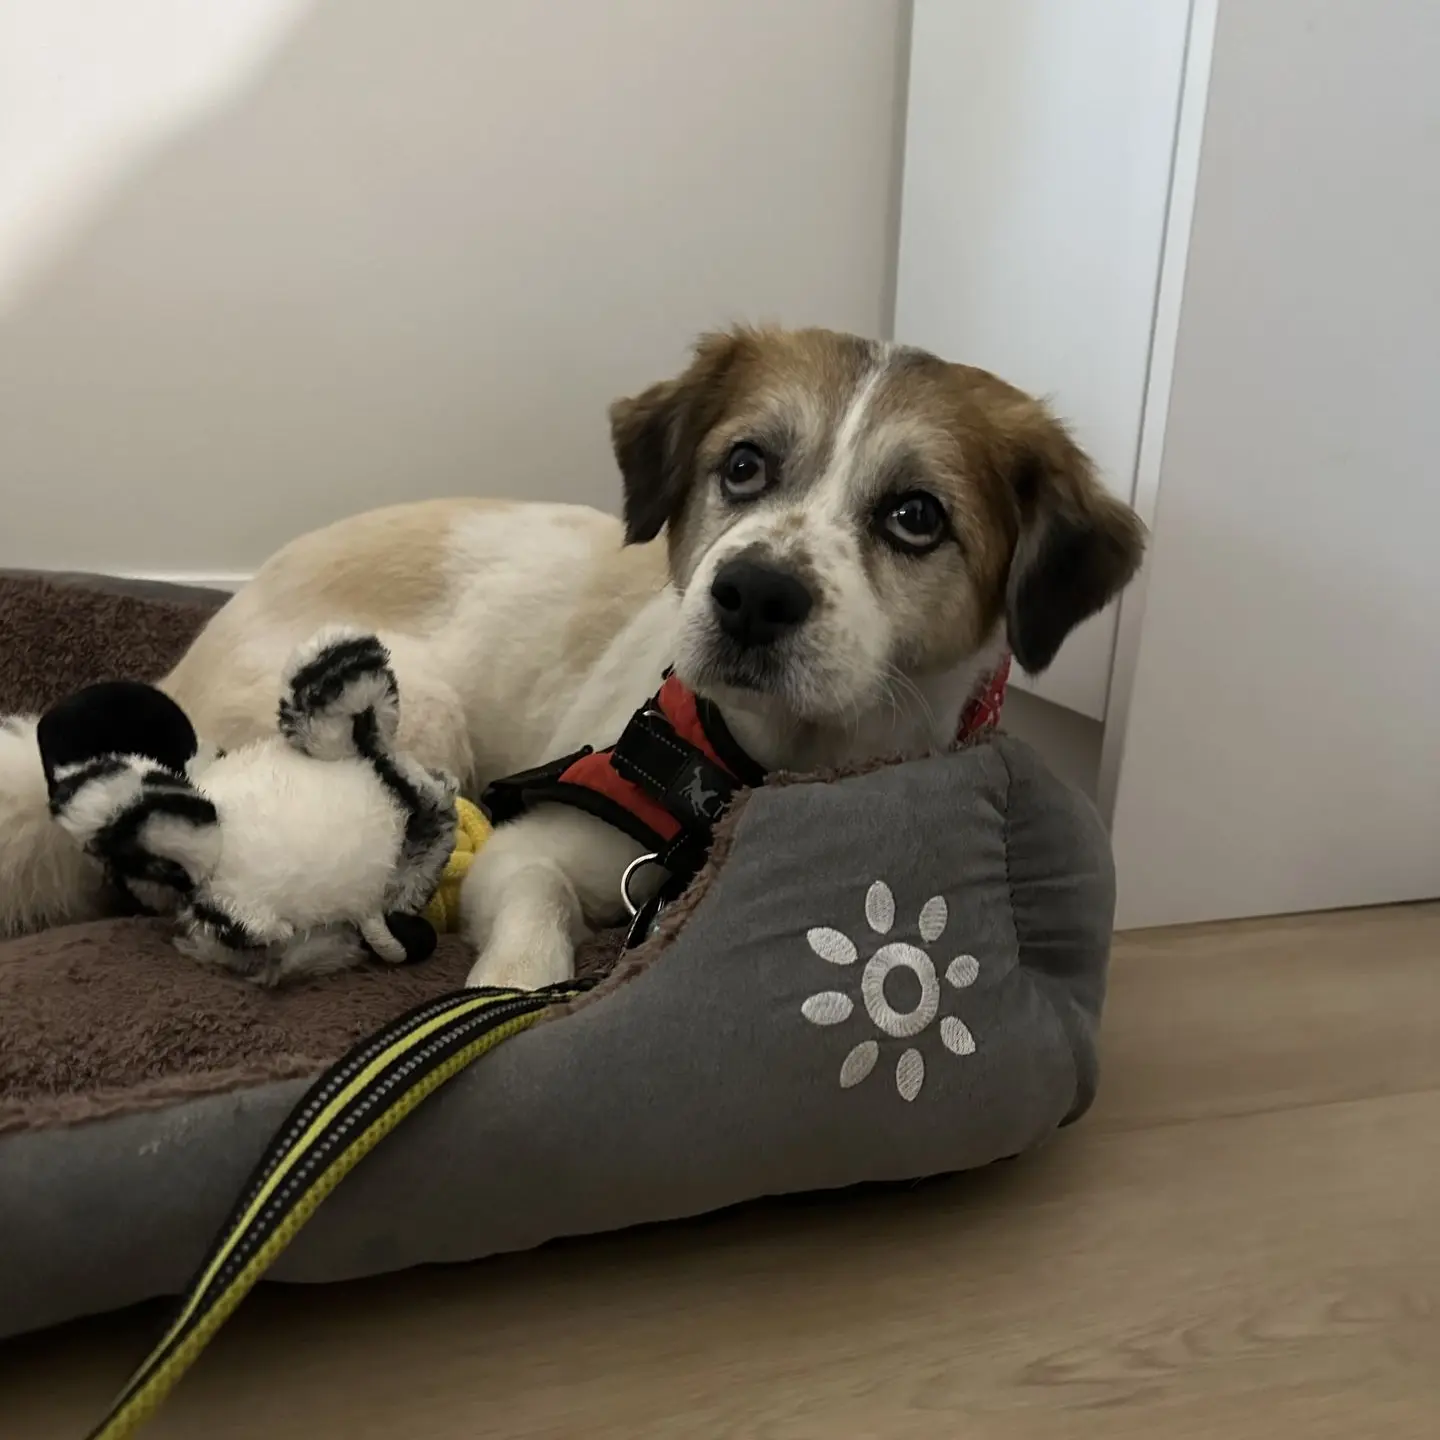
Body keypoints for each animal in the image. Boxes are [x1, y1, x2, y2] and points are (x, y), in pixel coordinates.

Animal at [0, 326, 1145, 987]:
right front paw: (509, 988)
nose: (752, 594)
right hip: (420, 714)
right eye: (744, 465)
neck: (757, 768)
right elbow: (531, 933)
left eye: (915, 517)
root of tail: (187, 664)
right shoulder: (534, 849)